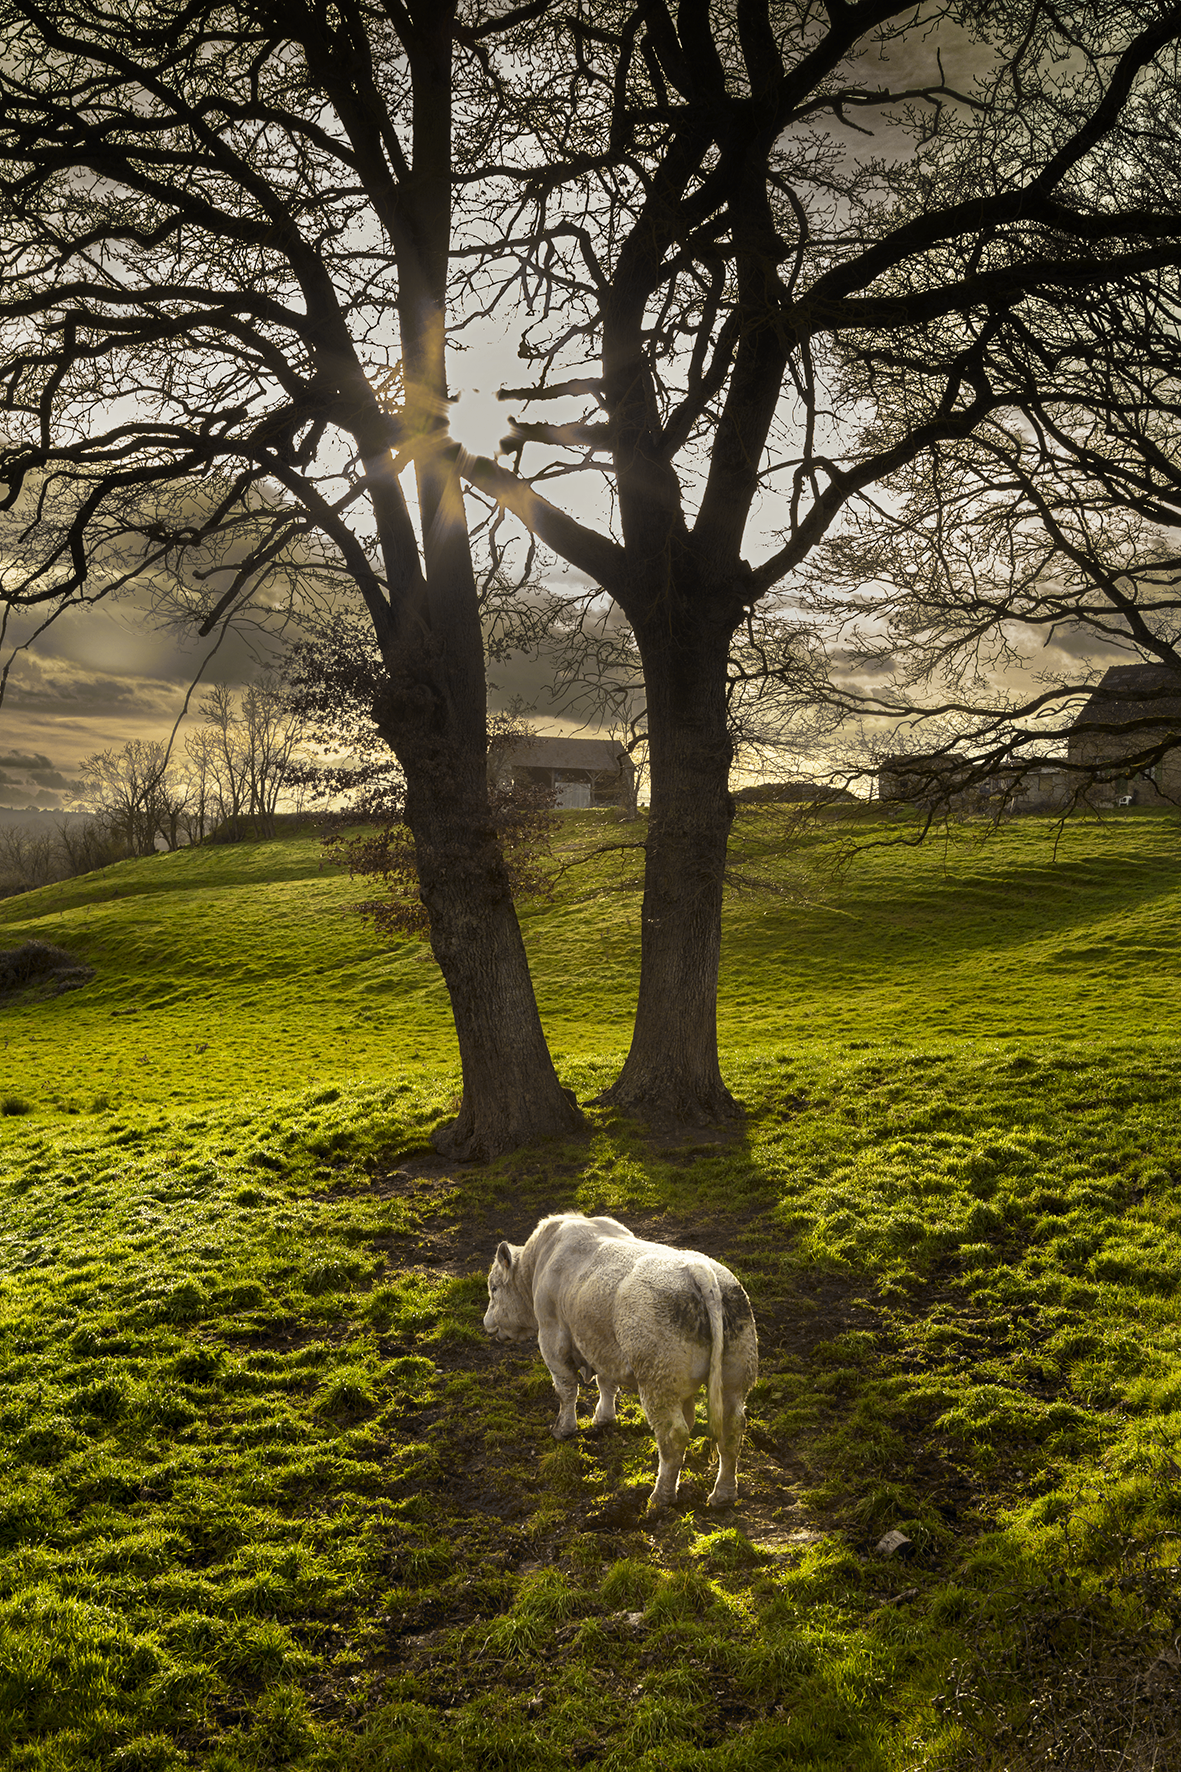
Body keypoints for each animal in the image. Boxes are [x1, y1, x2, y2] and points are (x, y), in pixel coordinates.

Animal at [482, 1219, 758, 1509]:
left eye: (494, 1288)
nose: (487, 1322)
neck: (540, 1262)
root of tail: (699, 1270)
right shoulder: (603, 1347)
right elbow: (606, 1383)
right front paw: (603, 1418)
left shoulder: (552, 1338)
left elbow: (566, 1390)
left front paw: (564, 1429)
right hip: (733, 1380)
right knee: (732, 1430)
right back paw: (723, 1494)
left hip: (658, 1383)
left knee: (673, 1436)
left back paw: (661, 1496)